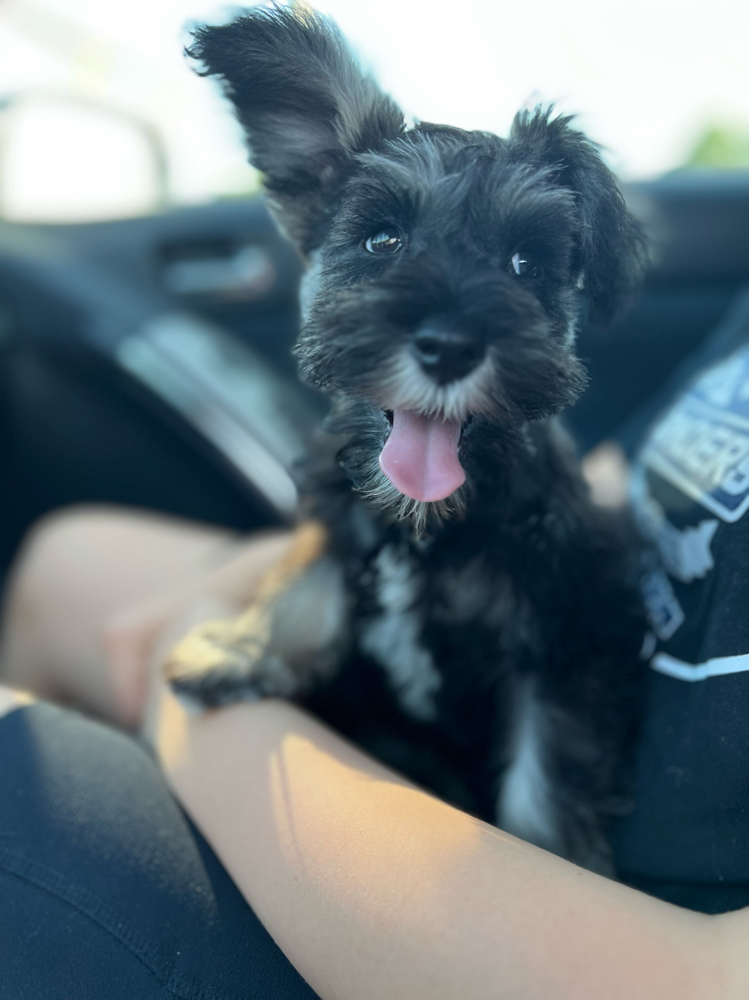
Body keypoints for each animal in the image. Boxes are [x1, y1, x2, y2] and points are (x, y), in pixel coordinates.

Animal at [167, 3, 644, 872]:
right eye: (381, 239)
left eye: (525, 261)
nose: (449, 347)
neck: (421, 530)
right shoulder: (340, 518)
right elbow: (306, 580)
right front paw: (237, 650)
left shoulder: (569, 633)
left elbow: (546, 775)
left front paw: (546, 852)